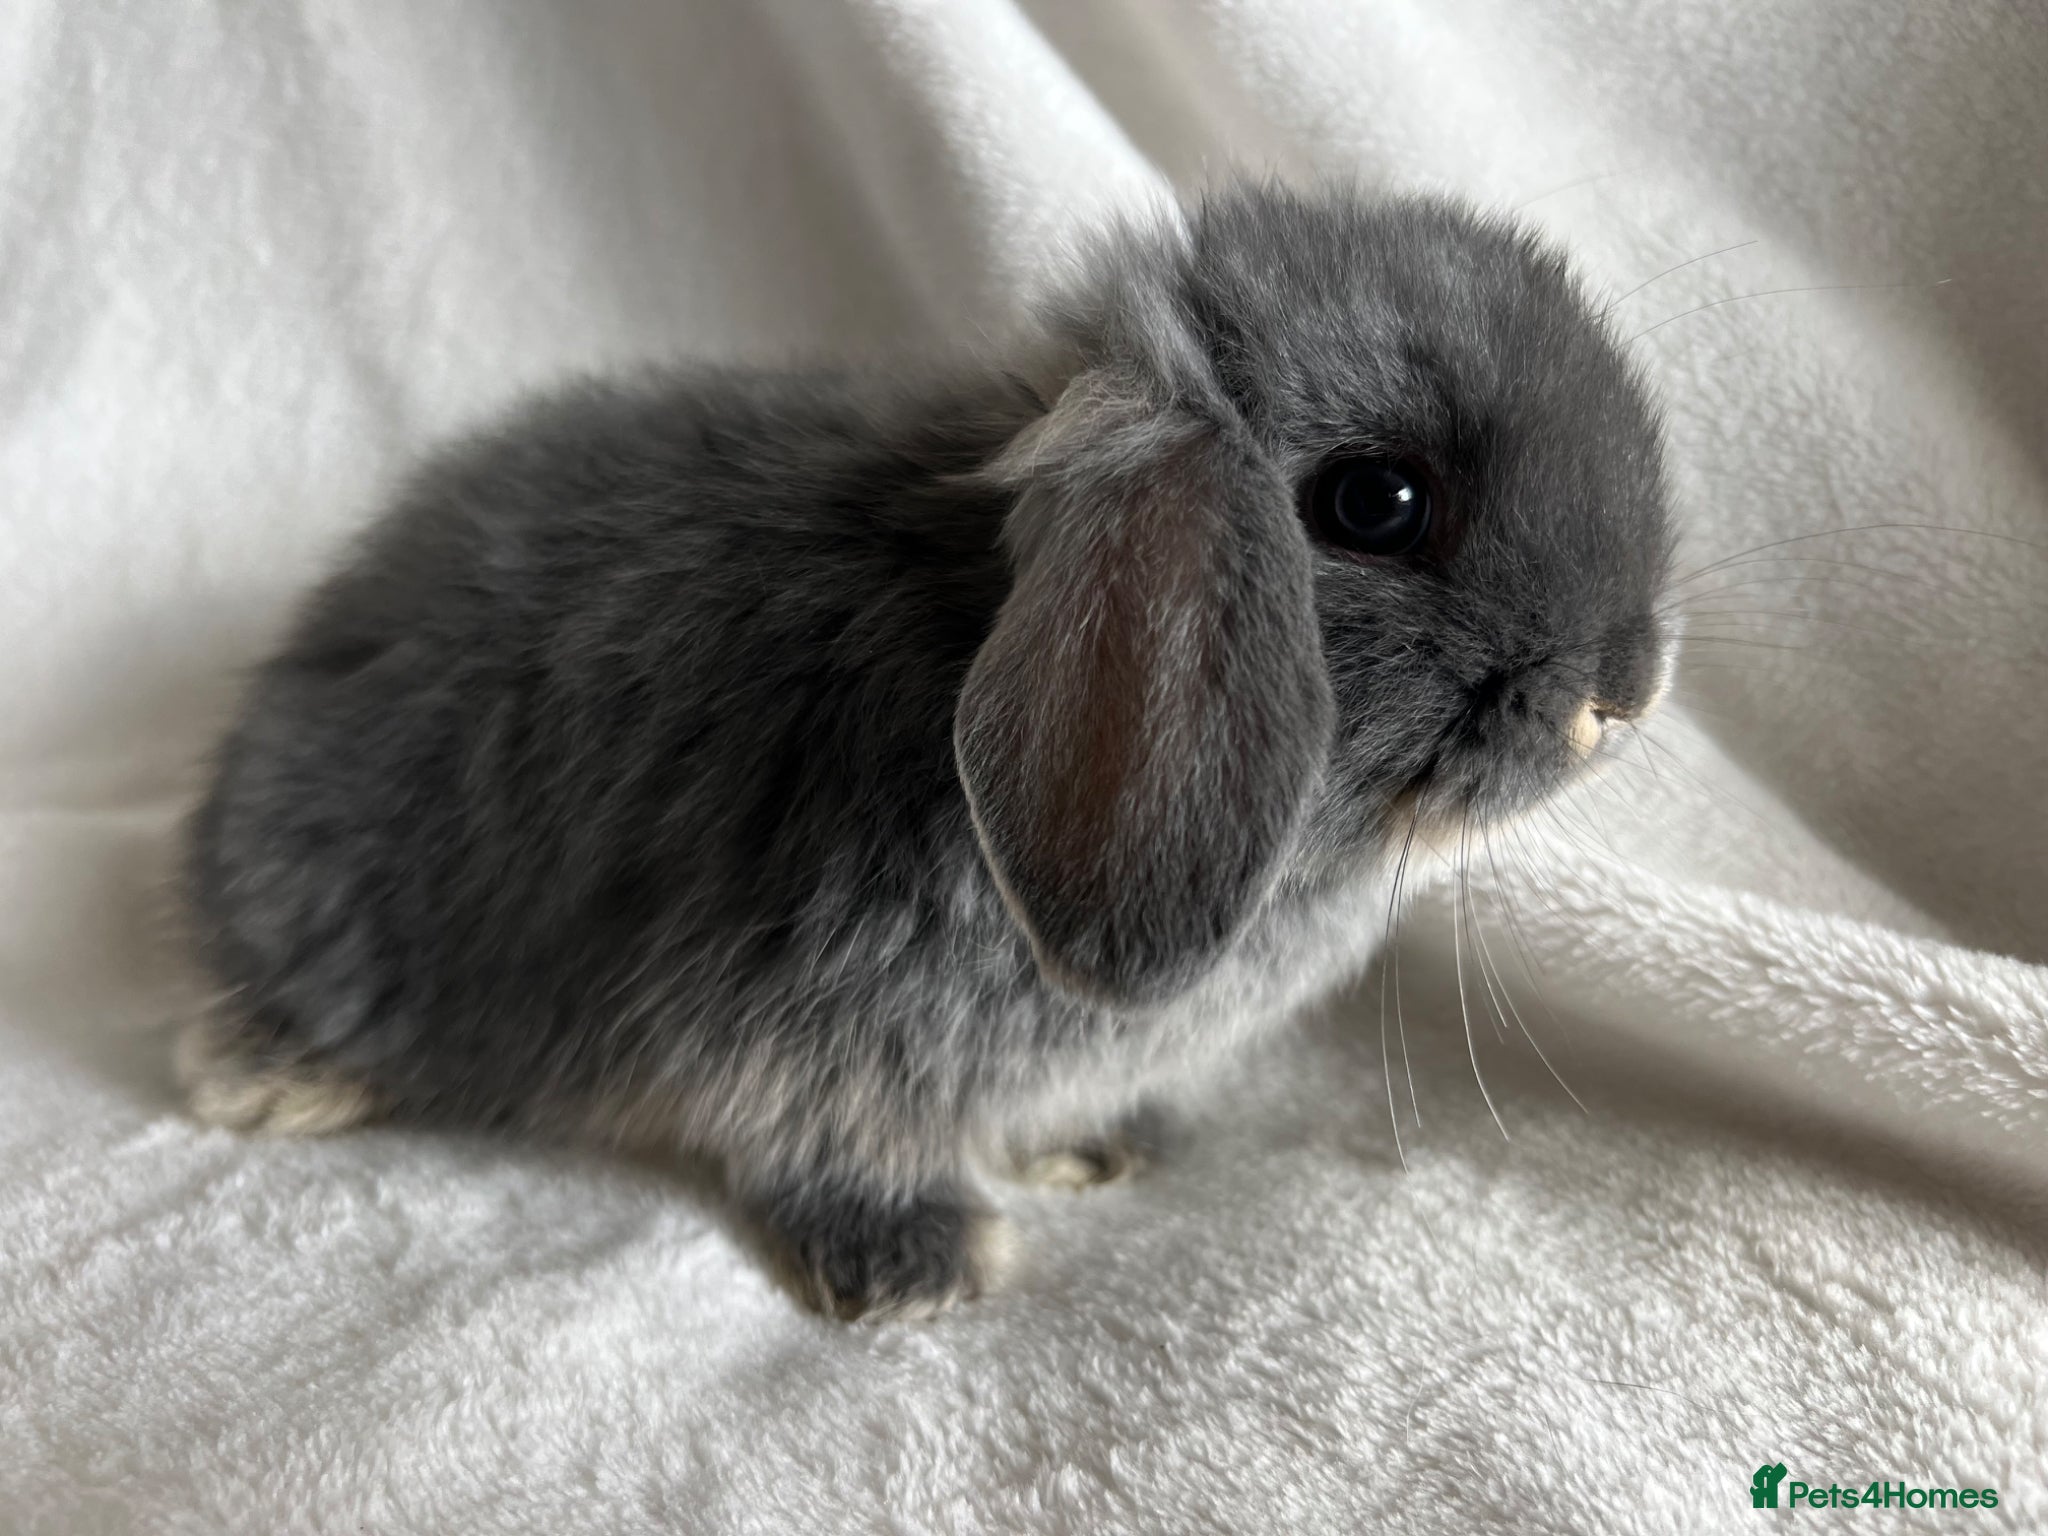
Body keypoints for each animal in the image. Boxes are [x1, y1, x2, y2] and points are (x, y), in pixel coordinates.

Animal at [179, 182, 1676, 1321]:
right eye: (1377, 502)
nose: (1621, 693)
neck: (964, 614)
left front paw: (1102, 1150)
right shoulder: (799, 1029)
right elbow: (819, 1144)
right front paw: (922, 1272)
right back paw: (271, 1082)